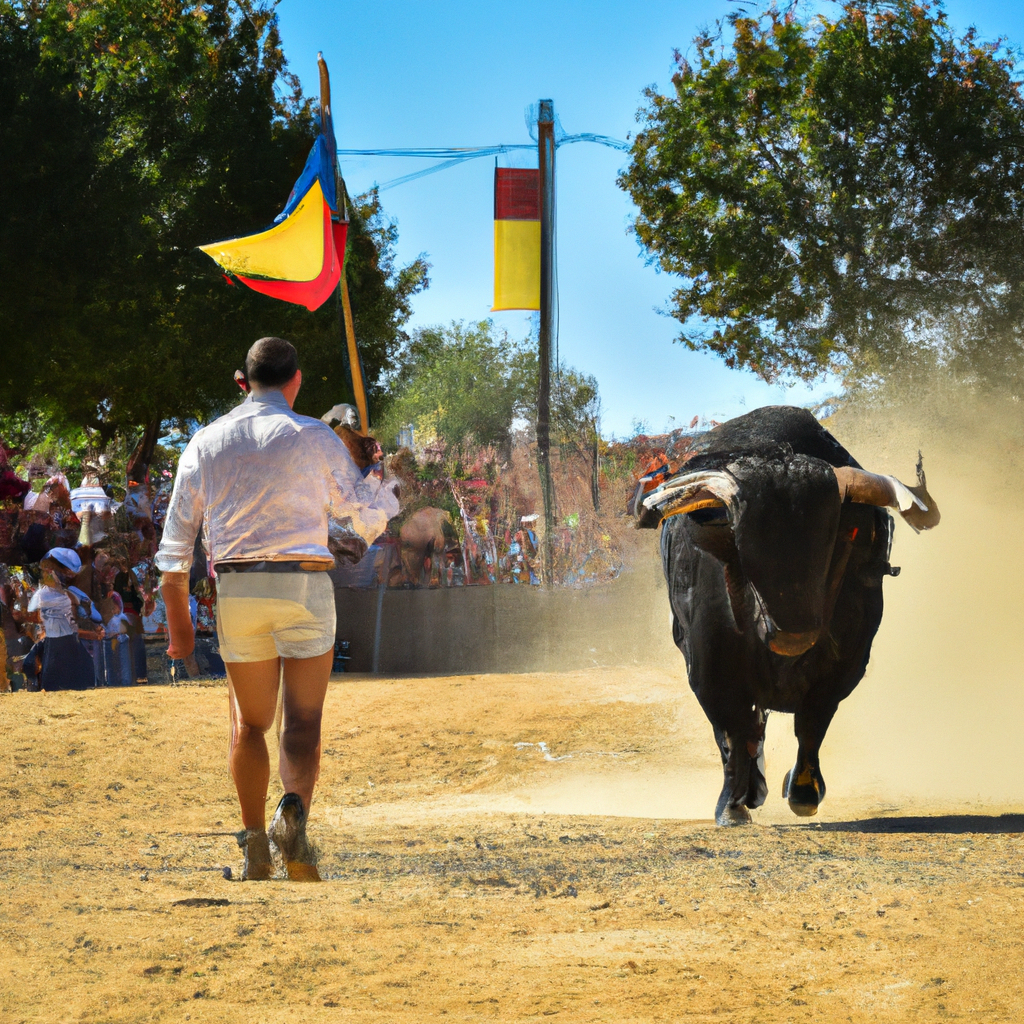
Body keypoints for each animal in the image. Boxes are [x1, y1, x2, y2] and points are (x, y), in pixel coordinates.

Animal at [634, 405, 937, 823]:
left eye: (827, 540)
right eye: (745, 543)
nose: (794, 635)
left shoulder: (846, 663)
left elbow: (812, 723)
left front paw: (805, 792)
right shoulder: (709, 666)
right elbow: (733, 730)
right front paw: (733, 805)